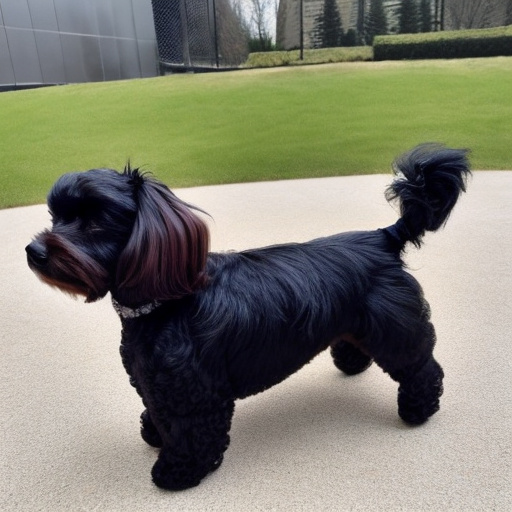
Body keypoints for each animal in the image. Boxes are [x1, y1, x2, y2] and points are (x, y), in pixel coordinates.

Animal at [26, 144, 470, 490]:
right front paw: (154, 433)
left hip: (398, 334)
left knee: (423, 369)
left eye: (95, 220)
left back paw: (418, 410)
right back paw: (351, 362)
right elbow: (156, 411)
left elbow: (189, 435)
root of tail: (383, 236)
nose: (34, 251)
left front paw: (178, 471)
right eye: (55, 217)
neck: (167, 302)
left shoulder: (197, 396)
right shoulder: (153, 382)